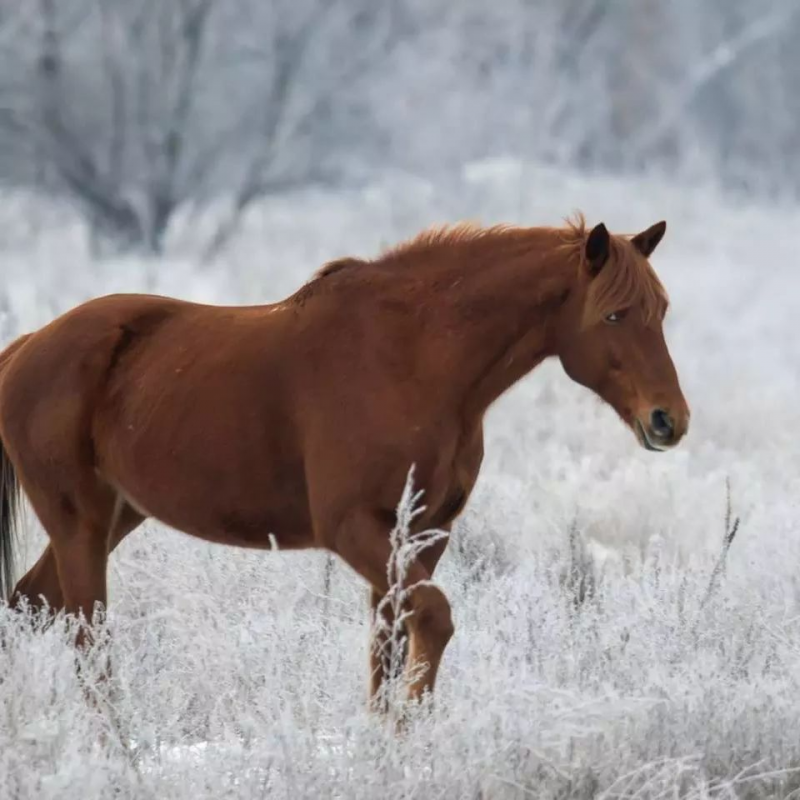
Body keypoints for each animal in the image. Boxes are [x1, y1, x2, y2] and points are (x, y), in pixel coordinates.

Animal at [0, 212, 688, 708]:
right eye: (614, 314)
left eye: (660, 312)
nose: (669, 420)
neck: (413, 360)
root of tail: (29, 346)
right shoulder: (354, 528)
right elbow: (433, 620)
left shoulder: (423, 536)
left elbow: (390, 647)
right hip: (80, 526)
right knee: (90, 646)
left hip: (116, 516)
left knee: (30, 604)